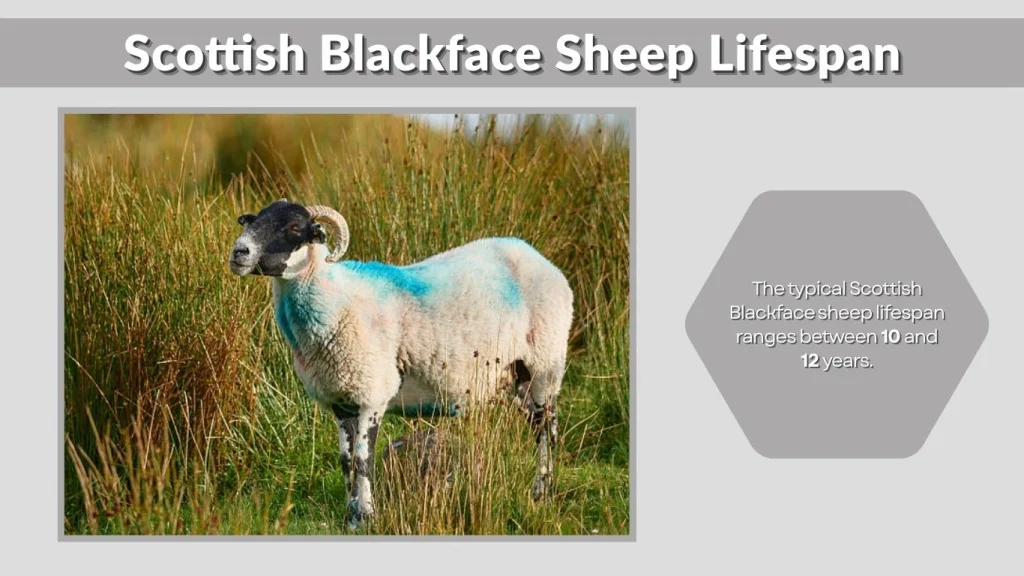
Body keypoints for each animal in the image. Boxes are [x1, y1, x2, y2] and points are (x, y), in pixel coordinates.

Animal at [228, 199, 574, 528]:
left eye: (295, 227)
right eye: (253, 220)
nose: (239, 252)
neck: (337, 298)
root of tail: (537, 257)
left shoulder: (371, 395)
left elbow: (363, 462)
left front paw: (366, 517)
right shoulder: (341, 401)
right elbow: (345, 461)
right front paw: (349, 515)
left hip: (544, 365)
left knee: (547, 429)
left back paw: (542, 492)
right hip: (516, 377)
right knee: (537, 425)